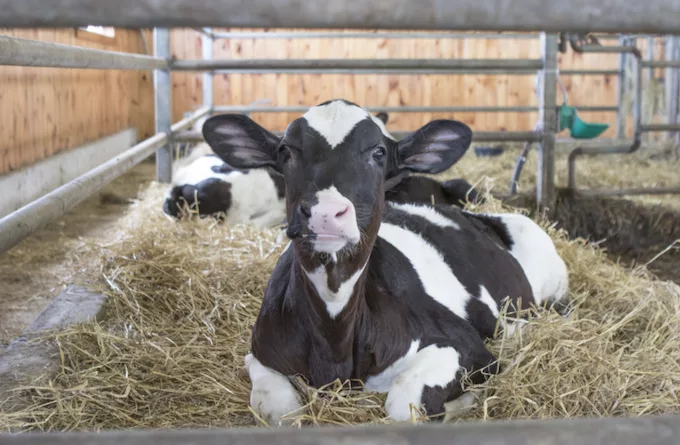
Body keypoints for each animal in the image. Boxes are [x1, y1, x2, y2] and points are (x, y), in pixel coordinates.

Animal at [201, 99, 569, 425]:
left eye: (378, 152)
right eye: (286, 151)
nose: (324, 212)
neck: (334, 343)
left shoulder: (466, 346)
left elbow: (403, 405)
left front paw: (461, 403)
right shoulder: (262, 353)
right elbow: (280, 413)